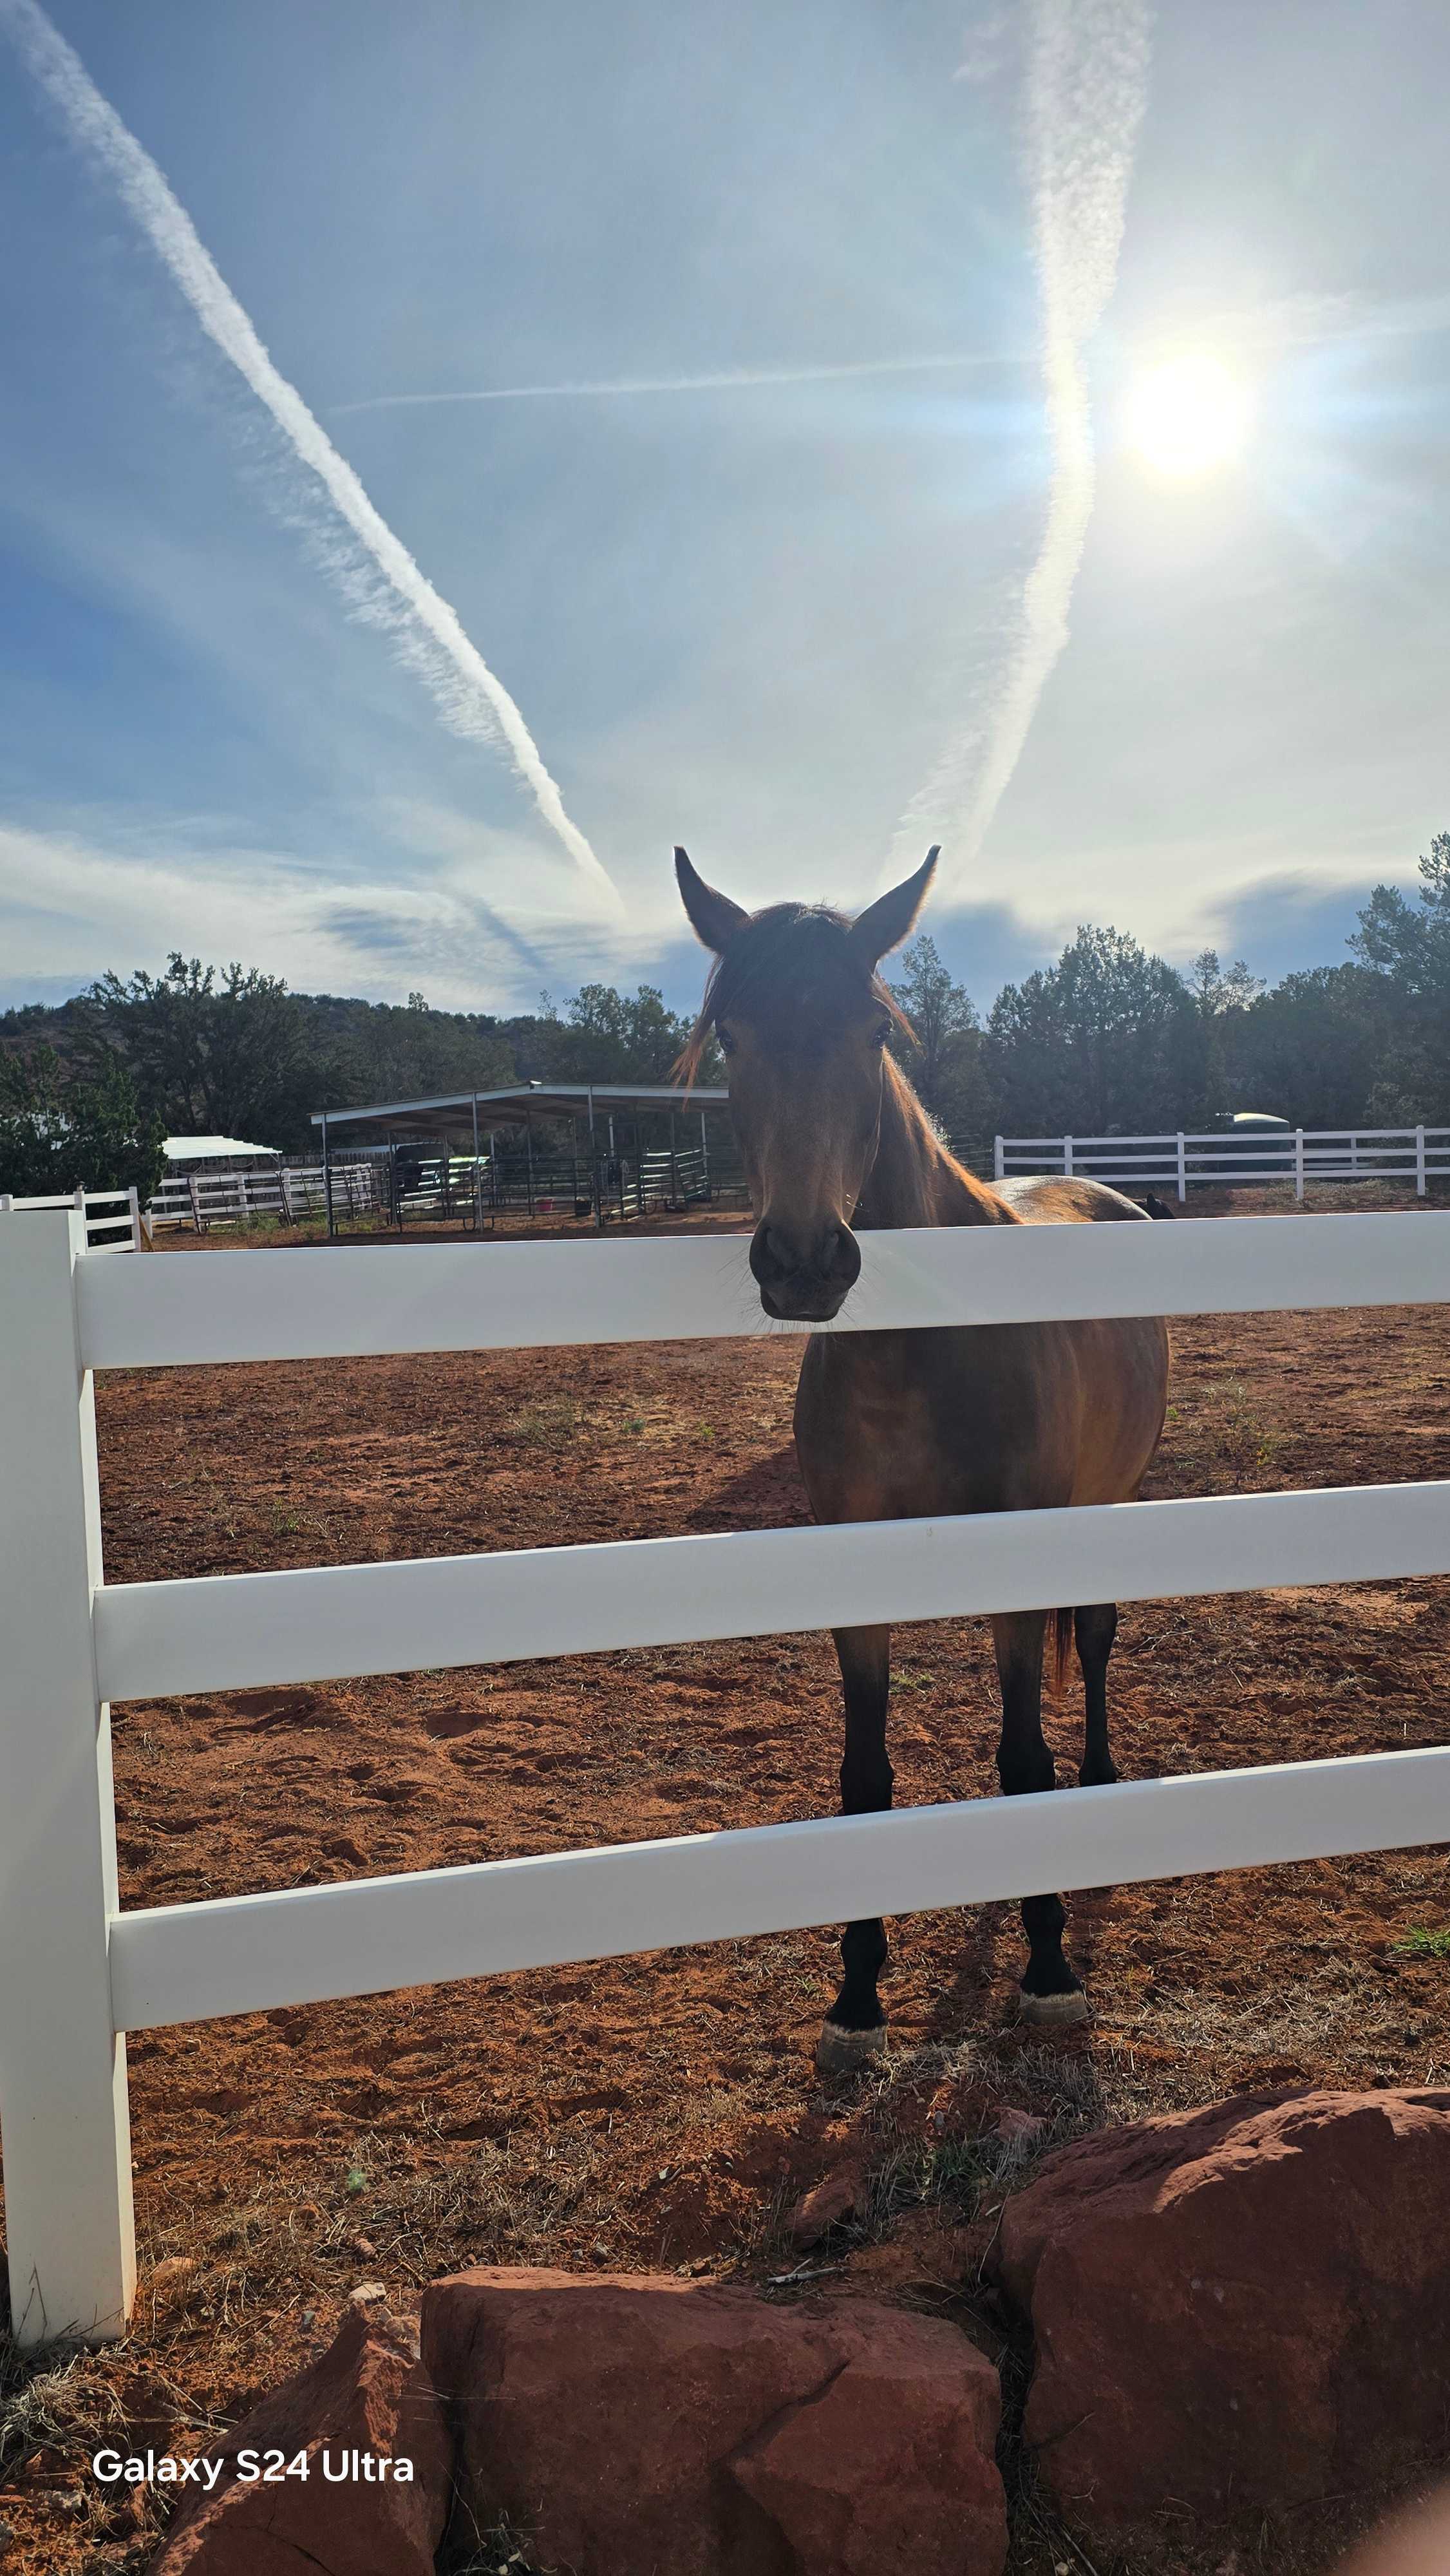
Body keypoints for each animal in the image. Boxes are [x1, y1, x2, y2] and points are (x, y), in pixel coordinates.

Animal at [675, 844, 1169, 2072]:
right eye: (734, 1039)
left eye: (870, 1032)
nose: (806, 1262)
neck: (920, 1353)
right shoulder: (856, 1578)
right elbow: (863, 1777)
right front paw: (856, 1993)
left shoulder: (1014, 1573)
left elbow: (1020, 1762)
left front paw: (1048, 1971)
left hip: (1107, 1506)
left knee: (1094, 1644)